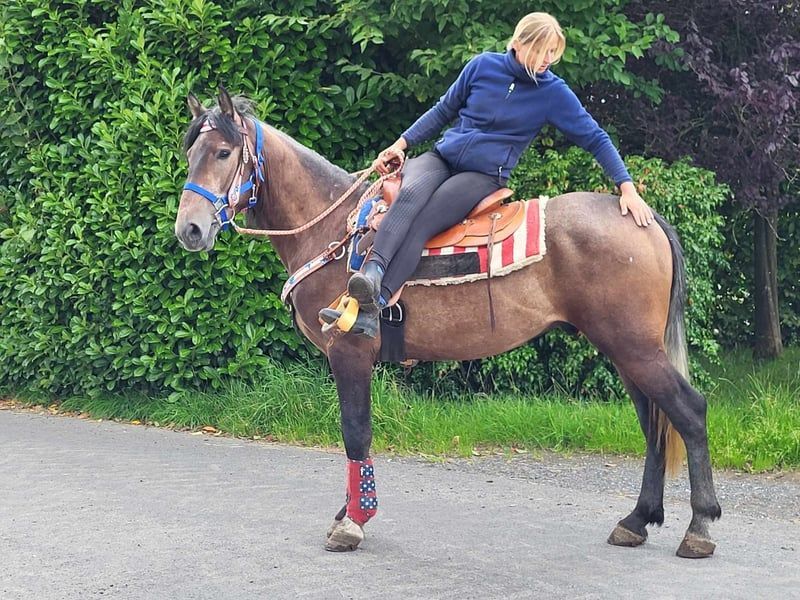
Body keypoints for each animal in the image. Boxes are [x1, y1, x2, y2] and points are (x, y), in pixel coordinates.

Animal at [177, 88, 724, 556]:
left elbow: (355, 431)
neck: (332, 229)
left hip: (635, 347)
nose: (190, 229)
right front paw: (348, 512)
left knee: (689, 411)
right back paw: (637, 520)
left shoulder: (349, 352)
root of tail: (642, 214)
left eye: (223, 153)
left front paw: (353, 521)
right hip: (625, 350)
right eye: (190, 154)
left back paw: (699, 527)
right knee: (654, 423)